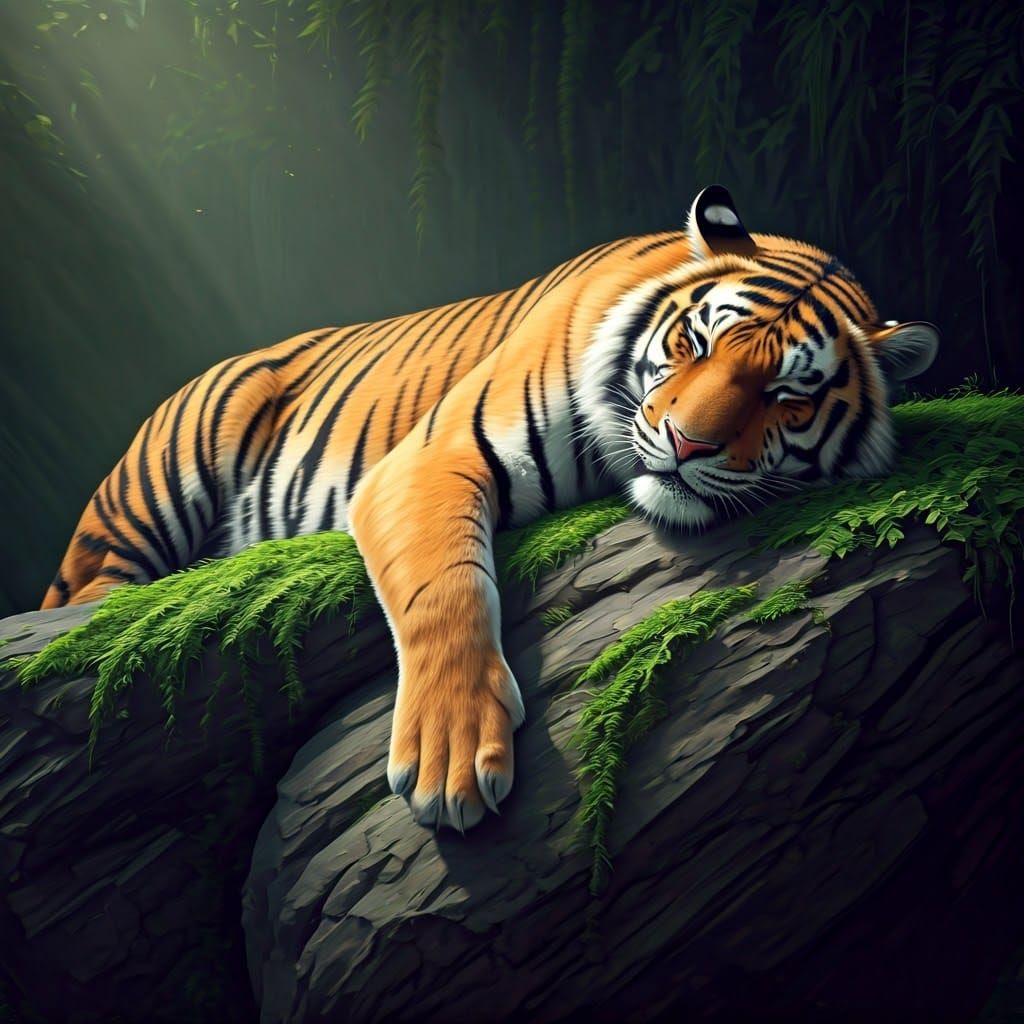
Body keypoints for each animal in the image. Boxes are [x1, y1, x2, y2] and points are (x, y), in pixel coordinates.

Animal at [42, 186, 938, 832]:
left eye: (788, 397)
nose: (686, 443)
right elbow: (448, 589)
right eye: (696, 344)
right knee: (90, 598)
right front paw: (449, 762)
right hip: (163, 476)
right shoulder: (430, 457)